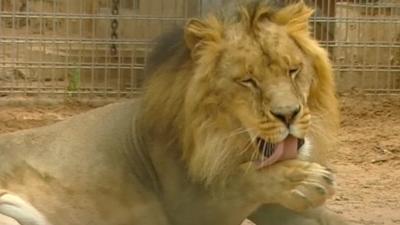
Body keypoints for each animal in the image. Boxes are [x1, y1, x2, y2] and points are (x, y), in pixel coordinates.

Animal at [0, 0, 346, 225]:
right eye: (248, 81)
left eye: (293, 70)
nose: (289, 114)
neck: (226, 141)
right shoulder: (189, 210)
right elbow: (236, 183)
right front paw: (304, 179)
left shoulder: (277, 209)